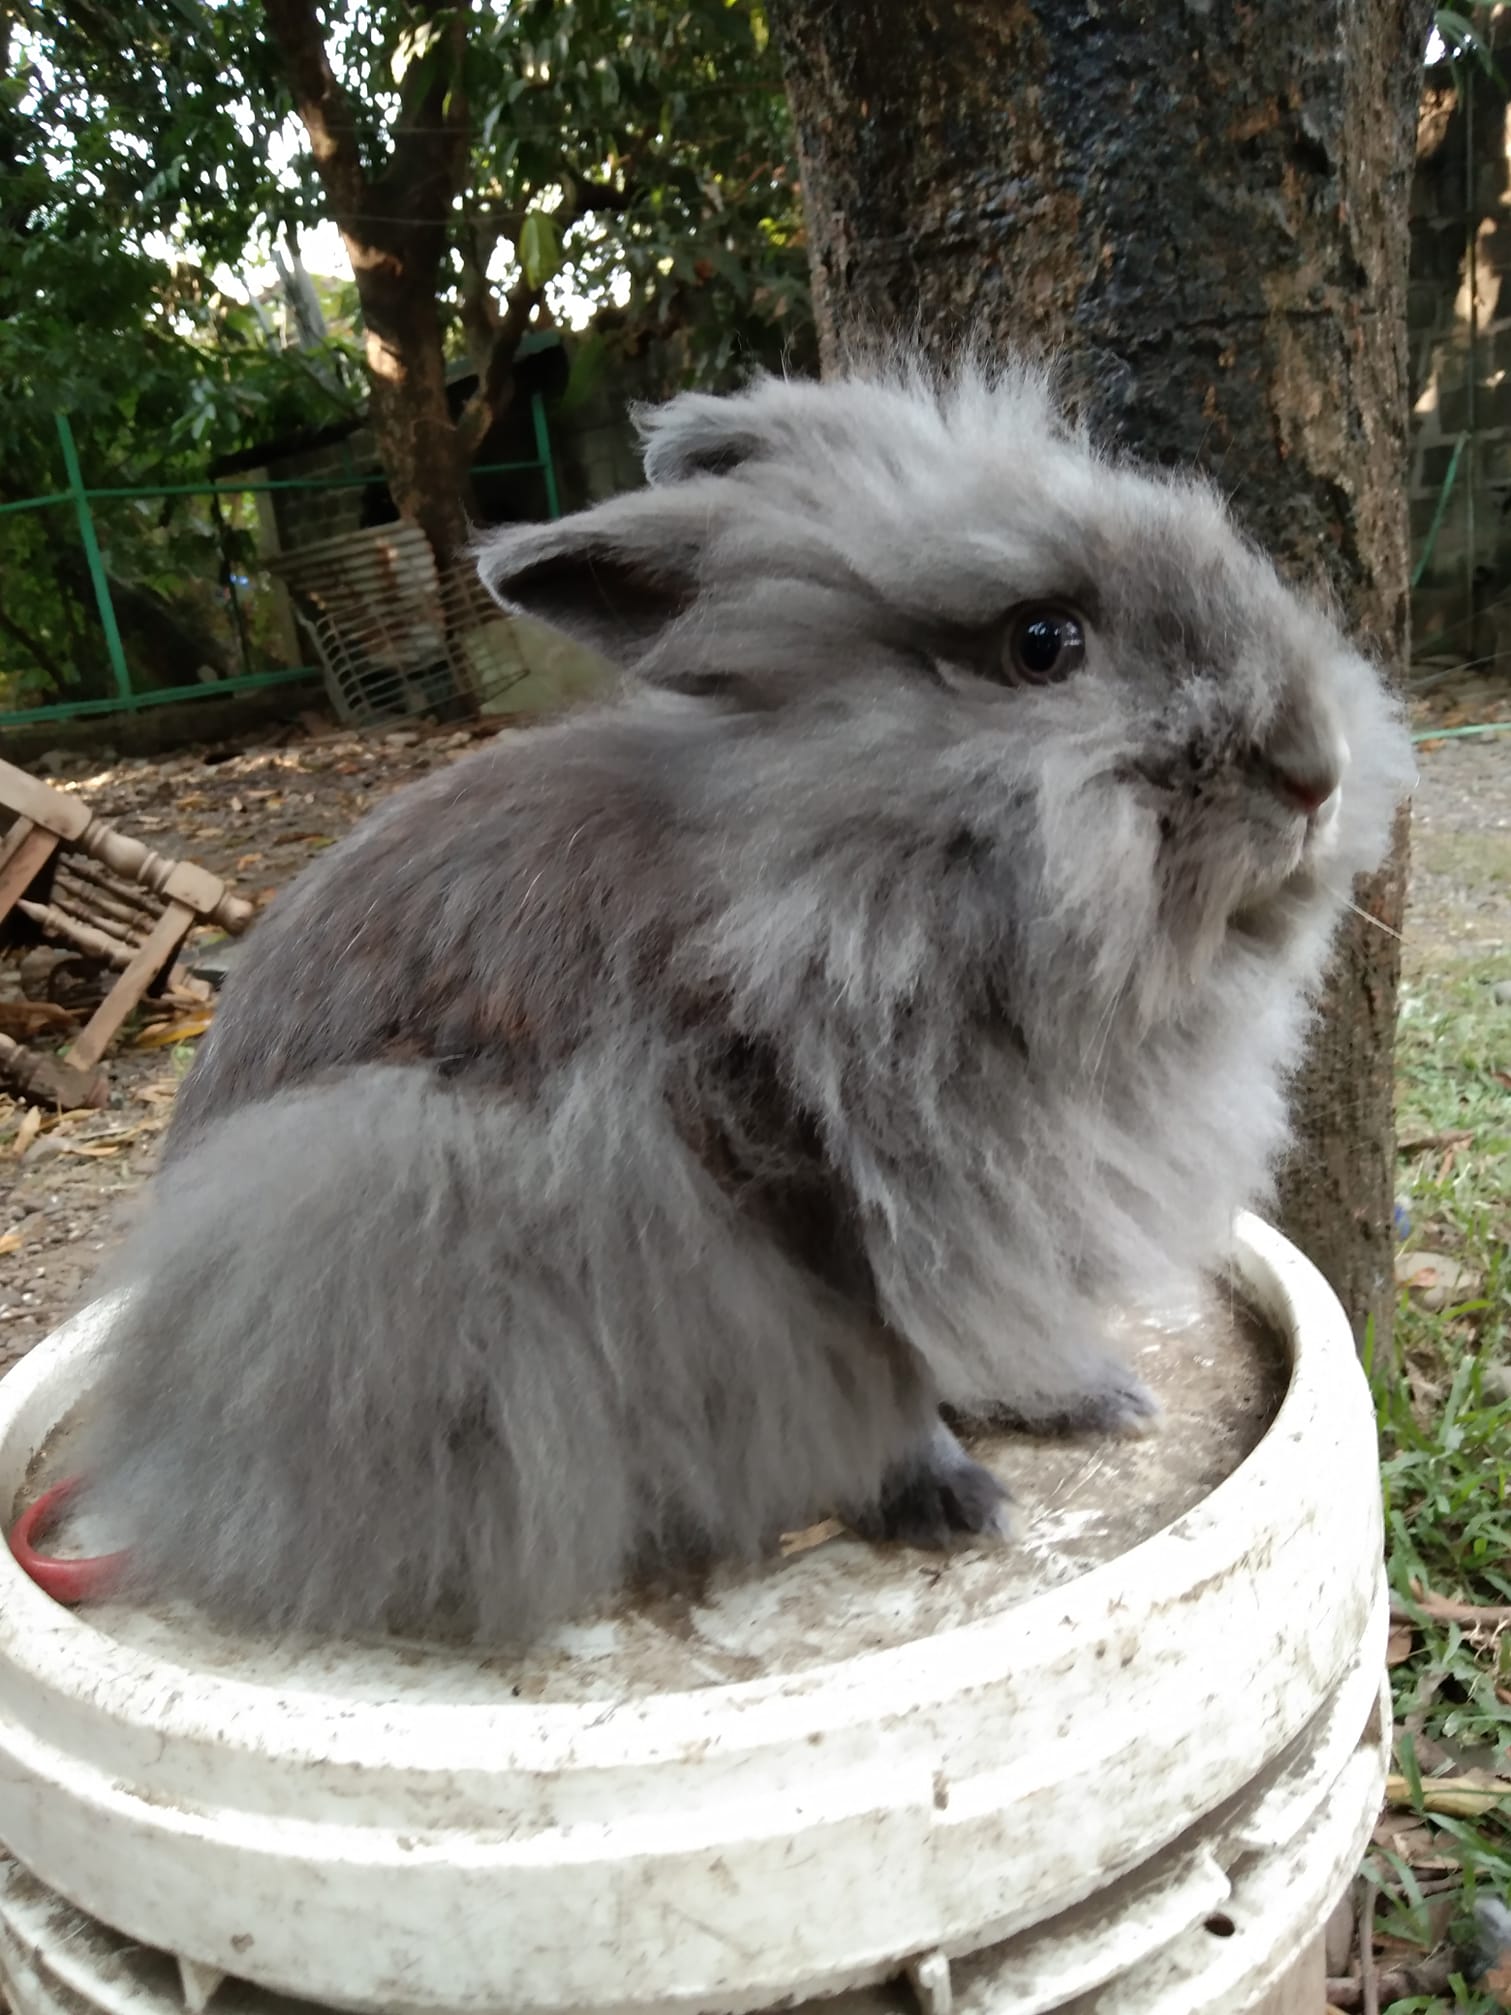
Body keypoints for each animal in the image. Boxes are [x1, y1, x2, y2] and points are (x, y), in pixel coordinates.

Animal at [71, 358, 1413, 1644]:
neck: (831, 869)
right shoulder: (789, 1220)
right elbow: (878, 1377)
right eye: (1043, 643)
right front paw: (943, 1495)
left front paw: (1079, 1394)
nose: (1315, 773)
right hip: (376, 1173)